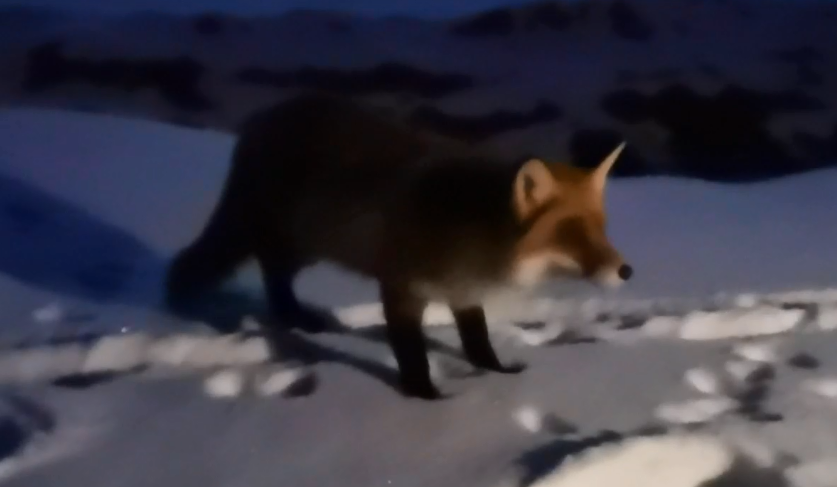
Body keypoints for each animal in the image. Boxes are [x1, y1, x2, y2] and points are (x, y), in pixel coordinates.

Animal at [164, 92, 633, 400]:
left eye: (603, 228)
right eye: (572, 231)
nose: (626, 271)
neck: (477, 242)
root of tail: (263, 116)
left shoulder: (464, 293)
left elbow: (478, 342)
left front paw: (499, 374)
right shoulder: (400, 288)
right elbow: (411, 353)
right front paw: (426, 397)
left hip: (307, 245)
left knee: (271, 271)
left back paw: (296, 320)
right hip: (287, 238)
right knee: (252, 266)